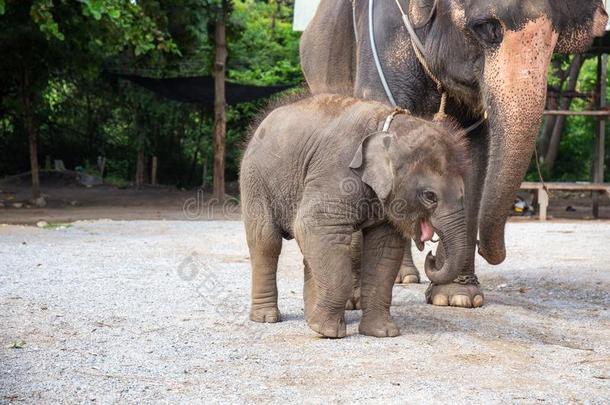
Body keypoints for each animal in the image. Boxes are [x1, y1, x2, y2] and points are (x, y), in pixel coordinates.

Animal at [240, 94, 468, 338]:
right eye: (430, 196)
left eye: (463, 193)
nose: (432, 256)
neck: (388, 127)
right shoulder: (337, 171)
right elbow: (313, 225)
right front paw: (328, 332)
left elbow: (383, 249)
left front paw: (382, 332)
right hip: (254, 179)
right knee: (266, 241)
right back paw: (268, 318)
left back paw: (311, 318)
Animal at [300, 0, 608, 306]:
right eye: (485, 27)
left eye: (553, 41)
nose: (434, 256)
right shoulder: (381, 43)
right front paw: (351, 300)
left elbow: (471, 156)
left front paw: (457, 297)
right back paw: (400, 277)